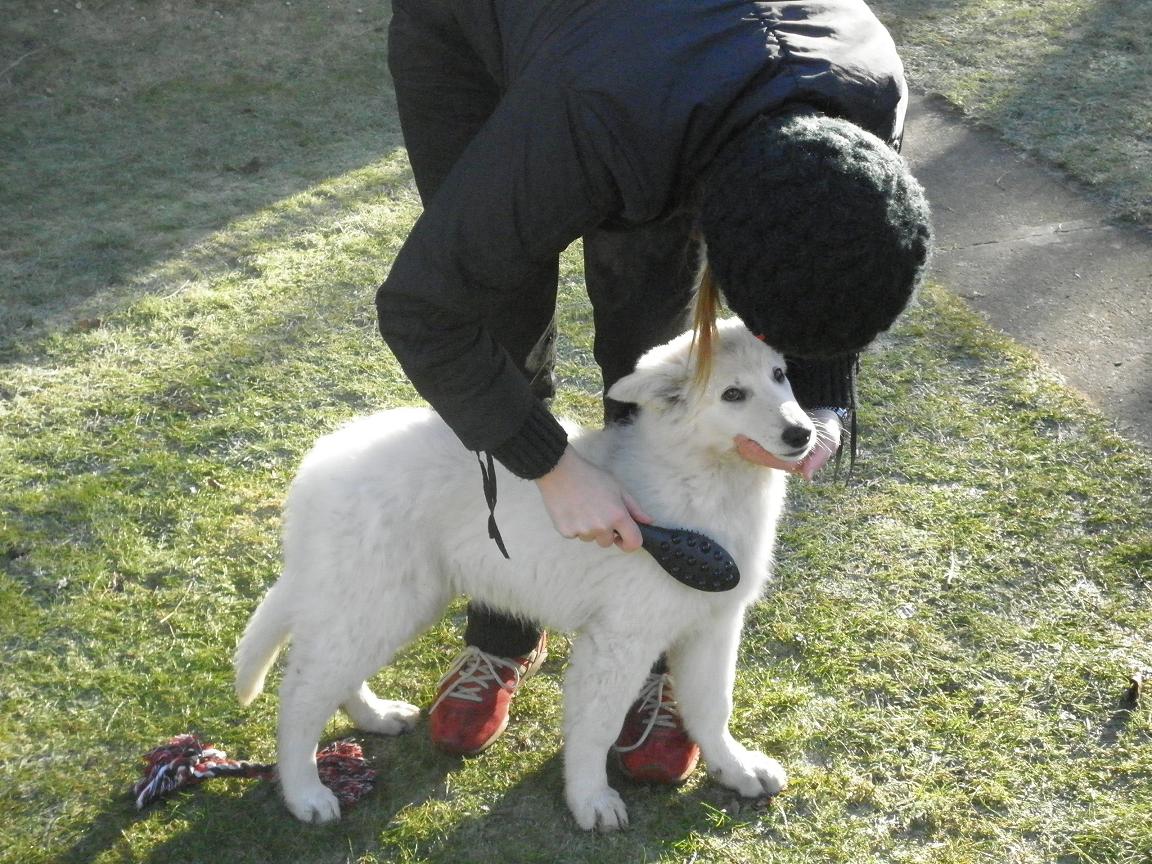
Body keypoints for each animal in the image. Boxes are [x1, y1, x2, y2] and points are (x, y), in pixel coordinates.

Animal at [231, 317, 811, 834]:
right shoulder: (618, 640)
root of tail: (320, 465)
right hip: (382, 600)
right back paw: (305, 792)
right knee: (301, 693)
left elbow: (713, 706)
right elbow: (596, 726)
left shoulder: (714, 624)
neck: (705, 481)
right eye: (733, 394)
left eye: (780, 376)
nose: (803, 432)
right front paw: (590, 799)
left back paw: (374, 716)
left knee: (332, 672)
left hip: (386, 603)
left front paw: (735, 769)